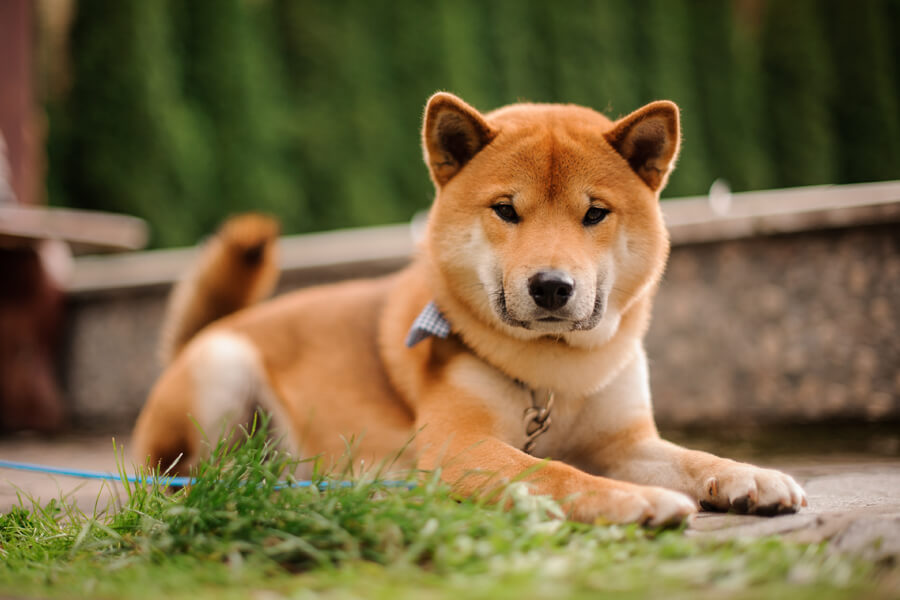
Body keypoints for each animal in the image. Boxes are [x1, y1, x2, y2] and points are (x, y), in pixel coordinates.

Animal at [135, 92, 808, 524]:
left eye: (595, 212)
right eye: (506, 209)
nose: (552, 286)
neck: (554, 375)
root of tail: (215, 328)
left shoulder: (626, 442)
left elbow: (694, 458)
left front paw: (749, 476)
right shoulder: (460, 446)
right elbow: (555, 472)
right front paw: (630, 501)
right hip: (220, 372)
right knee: (179, 474)